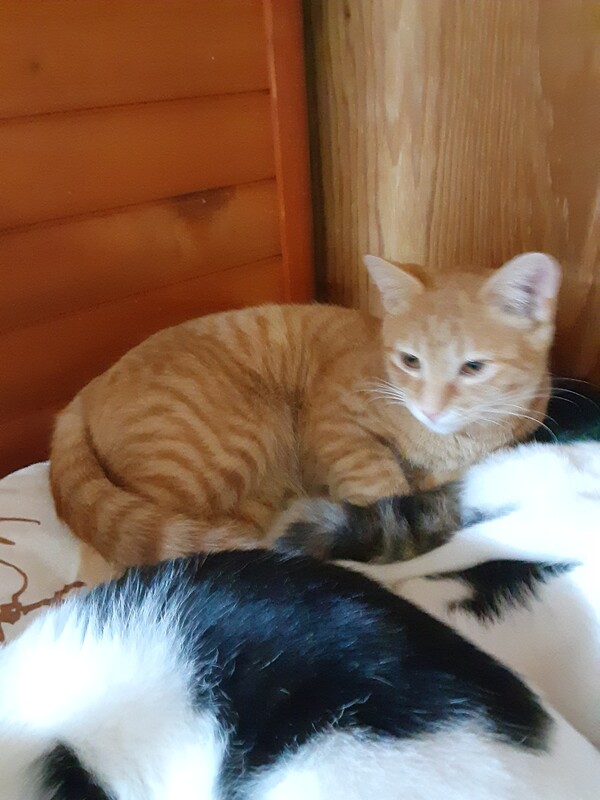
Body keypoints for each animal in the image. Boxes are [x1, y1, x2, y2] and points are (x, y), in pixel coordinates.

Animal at [50, 252, 560, 566]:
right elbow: (382, 490)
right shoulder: (334, 424)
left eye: (473, 367)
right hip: (236, 440)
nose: (430, 409)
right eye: (409, 361)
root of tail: (84, 393)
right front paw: (390, 535)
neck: (449, 441)